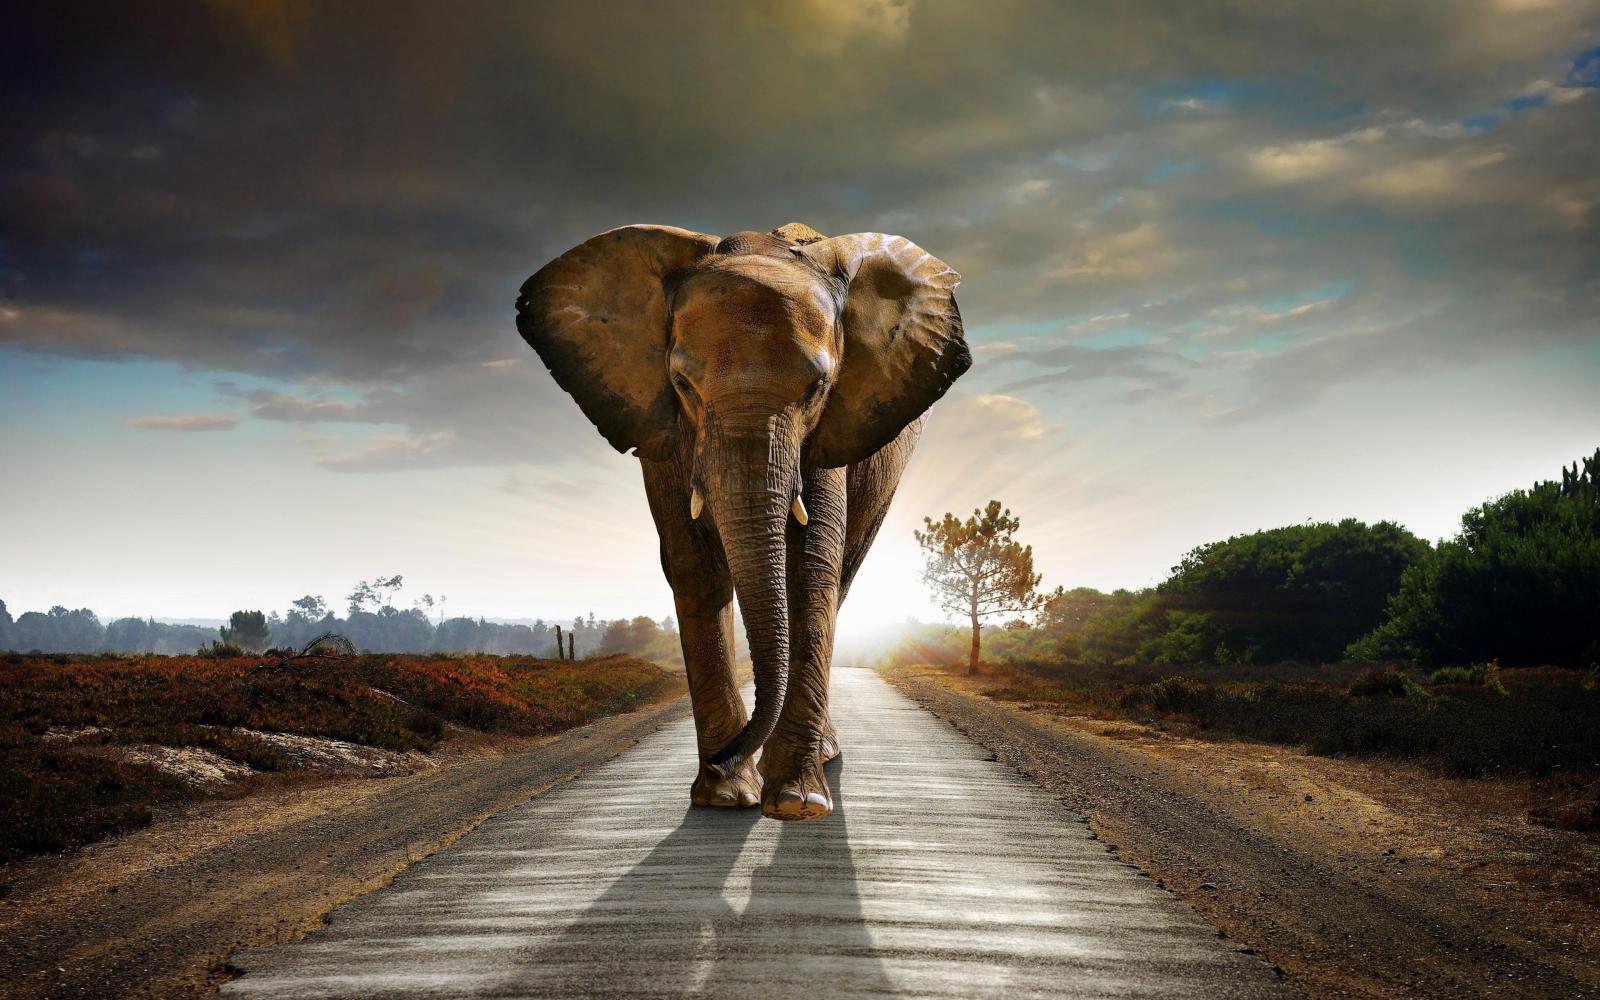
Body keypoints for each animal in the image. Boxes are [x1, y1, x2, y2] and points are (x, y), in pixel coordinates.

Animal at [516, 222, 969, 821]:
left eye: (817, 388)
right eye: (683, 384)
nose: (723, 757)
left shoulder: (829, 431)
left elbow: (810, 565)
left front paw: (796, 802)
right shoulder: (663, 430)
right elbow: (694, 564)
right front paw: (726, 797)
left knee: (843, 574)